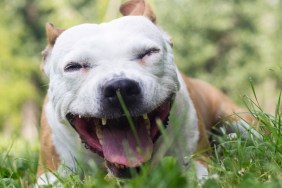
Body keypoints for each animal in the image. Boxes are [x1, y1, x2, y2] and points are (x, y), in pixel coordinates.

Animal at [36, 0, 258, 185]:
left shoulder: (197, 160)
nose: (120, 87)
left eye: (149, 53)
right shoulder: (49, 173)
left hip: (238, 120)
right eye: (73, 67)